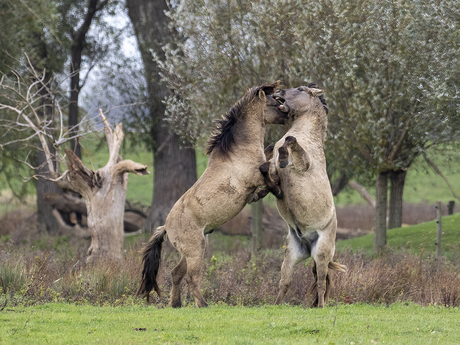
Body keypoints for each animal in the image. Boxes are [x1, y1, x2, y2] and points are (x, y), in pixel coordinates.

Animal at [137, 81, 288, 306]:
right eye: (275, 102)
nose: (288, 115)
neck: (238, 151)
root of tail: (166, 227)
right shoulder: (255, 176)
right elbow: (269, 174)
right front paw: (269, 191)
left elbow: (269, 153)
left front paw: (257, 195)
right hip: (196, 251)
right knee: (191, 278)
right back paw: (203, 305)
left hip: (193, 250)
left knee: (176, 274)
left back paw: (176, 305)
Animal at [258, 82, 344, 306]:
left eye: (301, 89)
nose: (278, 92)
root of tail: (308, 244)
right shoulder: (269, 164)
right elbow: (267, 163)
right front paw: (268, 188)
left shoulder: (305, 164)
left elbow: (290, 140)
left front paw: (283, 159)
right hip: (292, 254)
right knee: (285, 283)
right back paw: (276, 306)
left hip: (321, 253)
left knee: (321, 283)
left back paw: (321, 307)